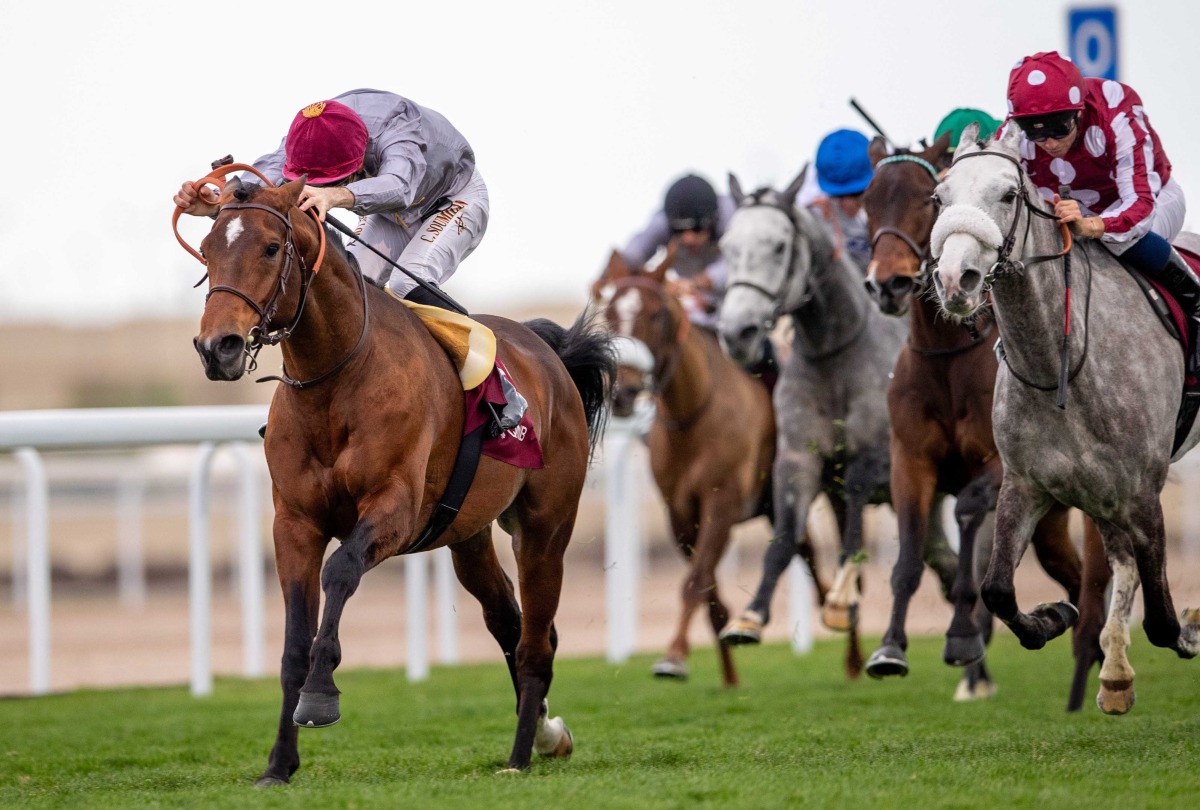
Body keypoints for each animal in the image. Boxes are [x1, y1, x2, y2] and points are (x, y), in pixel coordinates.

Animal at [187, 174, 619, 782]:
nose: (216, 347)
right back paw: (545, 735)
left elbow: (341, 571)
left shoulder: (394, 508)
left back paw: (519, 757)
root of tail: (549, 355)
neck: (335, 384)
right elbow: (294, 640)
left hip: (546, 526)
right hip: (468, 535)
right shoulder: (294, 522)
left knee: (537, 639)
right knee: (510, 623)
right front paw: (279, 763)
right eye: (207, 250)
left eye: (271, 248)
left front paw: (320, 696)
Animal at [597, 264, 777, 686]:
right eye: (610, 313)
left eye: (656, 314)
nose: (624, 392)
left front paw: (674, 657)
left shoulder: (722, 501)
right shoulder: (679, 514)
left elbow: (696, 581)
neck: (692, 415)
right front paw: (728, 672)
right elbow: (707, 586)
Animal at [710, 168, 955, 676]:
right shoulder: (795, 460)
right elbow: (784, 539)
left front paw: (842, 599)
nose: (737, 333)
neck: (834, 356)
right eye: (726, 245)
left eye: (779, 246)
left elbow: (856, 497)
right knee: (947, 560)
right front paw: (750, 617)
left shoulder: (885, 461)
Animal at [864, 134, 1104, 710]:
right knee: (1073, 577)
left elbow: (970, 512)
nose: (888, 284)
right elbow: (909, 555)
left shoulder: (1000, 464)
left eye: (924, 198)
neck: (947, 355)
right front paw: (890, 647)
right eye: (867, 201)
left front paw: (961, 636)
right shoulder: (910, 461)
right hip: (1050, 524)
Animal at [936, 121, 1200, 715]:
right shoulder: (1027, 483)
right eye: (939, 197)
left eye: (1009, 195)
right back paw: (1115, 672)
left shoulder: (1142, 491)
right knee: (1119, 560)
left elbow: (1164, 620)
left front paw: (1193, 629)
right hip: (1098, 494)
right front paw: (1052, 617)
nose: (956, 280)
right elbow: (997, 589)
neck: (1060, 361)